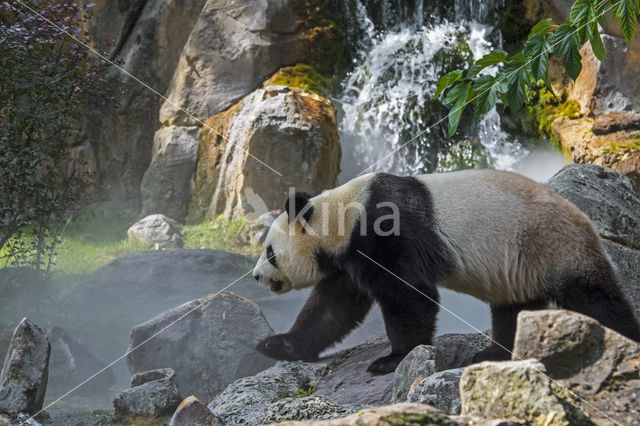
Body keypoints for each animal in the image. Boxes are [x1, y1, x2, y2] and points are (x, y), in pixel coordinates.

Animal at [250, 168, 640, 374]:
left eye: (270, 252)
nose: (255, 277)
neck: (344, 213)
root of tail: (586, 219)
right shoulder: (348, 258)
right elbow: (333, 308)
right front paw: (277, 345)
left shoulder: (384, 232)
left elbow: (410, 295)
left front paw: (392, 358)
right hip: (520, 268)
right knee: (513, 311)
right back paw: (494, 353)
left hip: (554, 246)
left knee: (595, 299)